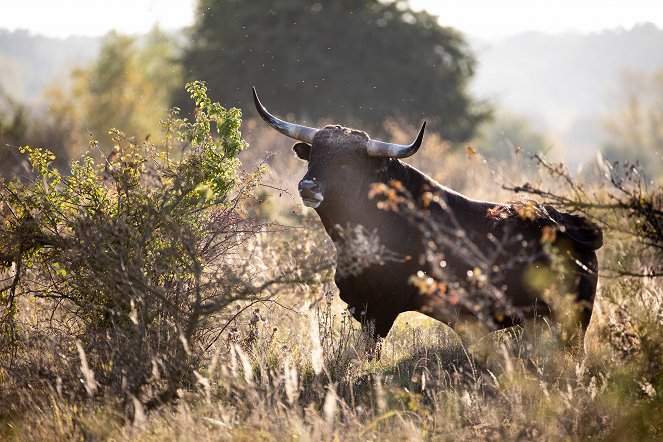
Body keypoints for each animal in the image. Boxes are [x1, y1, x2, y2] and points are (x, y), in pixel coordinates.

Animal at [253, 88, 600, 344]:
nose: (308, 186)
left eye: (349, 162)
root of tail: (572, 224)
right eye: (314, 153)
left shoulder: (382, 309)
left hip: (572, 322)